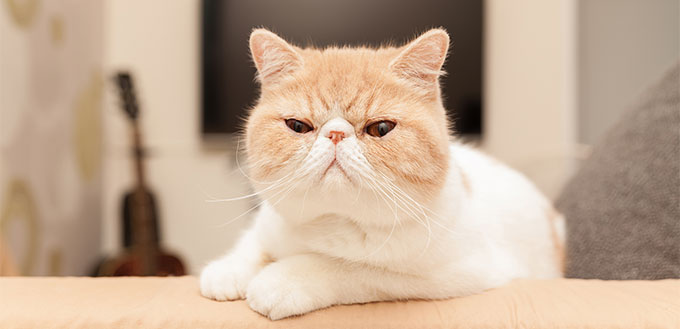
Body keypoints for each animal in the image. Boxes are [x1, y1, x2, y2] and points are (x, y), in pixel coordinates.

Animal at [199, 28, 564, 320]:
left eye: (381, 128)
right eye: (298, 126)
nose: (336, 134)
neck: (331, 223)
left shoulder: (455, 273)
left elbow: (348, 267)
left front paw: (282, 279)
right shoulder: (270, 223)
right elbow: (253, 241)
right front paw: (229, 269)